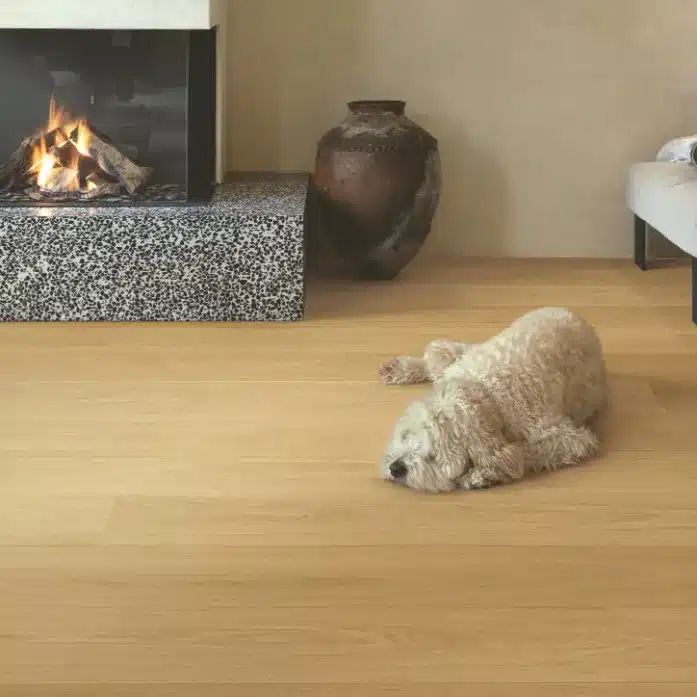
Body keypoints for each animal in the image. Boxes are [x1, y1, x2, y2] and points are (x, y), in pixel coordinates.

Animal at [379, 307, 607, 493]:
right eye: (406, 435)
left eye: (434, 455)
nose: (396, 468)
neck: (483, 392)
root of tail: (573, 314)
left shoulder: (570, 439)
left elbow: (521, 452)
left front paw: (482, 474)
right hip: (463, 353)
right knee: (438, 353)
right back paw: (400, 368)